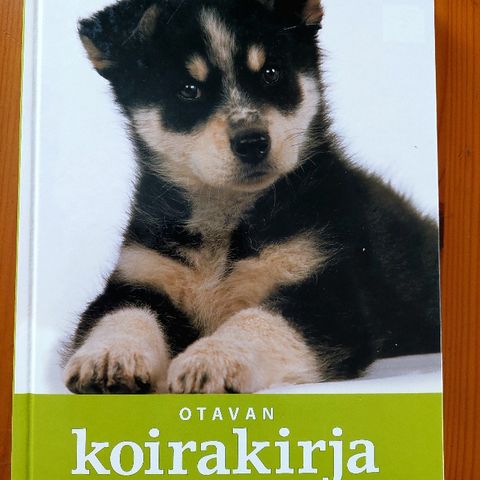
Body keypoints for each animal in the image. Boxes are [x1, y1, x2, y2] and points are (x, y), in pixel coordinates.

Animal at [64, 0, 441, 394]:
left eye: (271, 73)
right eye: (188, 89)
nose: (252, 141)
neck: (224, 224)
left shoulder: (329, 299)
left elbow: (255, 321)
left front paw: (211, 360)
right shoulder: (138, 278)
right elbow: (122, 317)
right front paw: (108, 358)